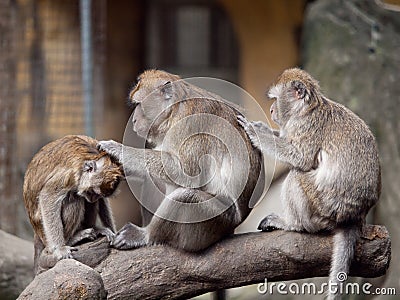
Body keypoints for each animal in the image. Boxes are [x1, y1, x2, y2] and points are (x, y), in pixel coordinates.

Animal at [23, 134, 123, 274]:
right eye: (92, 192)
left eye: (97, 195)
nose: (93, 198)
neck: (92, 156)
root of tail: (37, 232)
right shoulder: (70, 174)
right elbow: (47, 196)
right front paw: (60, 249)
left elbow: (102, 202)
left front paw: (114, 232)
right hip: (43, 232)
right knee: (75, 199)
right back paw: (72, 238)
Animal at [98, 69, 264, 252]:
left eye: (139, 104)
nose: (134, 120)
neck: (174, 110)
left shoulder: (190, 122)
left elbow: (186, 173)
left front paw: (117, 149)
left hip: (216, 221)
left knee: (186, 197)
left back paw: (147, 235)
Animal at [238, 68, 382, 300]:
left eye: (276, 99)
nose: (271, 110)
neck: (307, 108)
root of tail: (354, 217)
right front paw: (263, 128)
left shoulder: (305, 126)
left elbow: (300, 159)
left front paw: (256, 132)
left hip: (324, 207)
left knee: (296, 176)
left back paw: (293, 224)